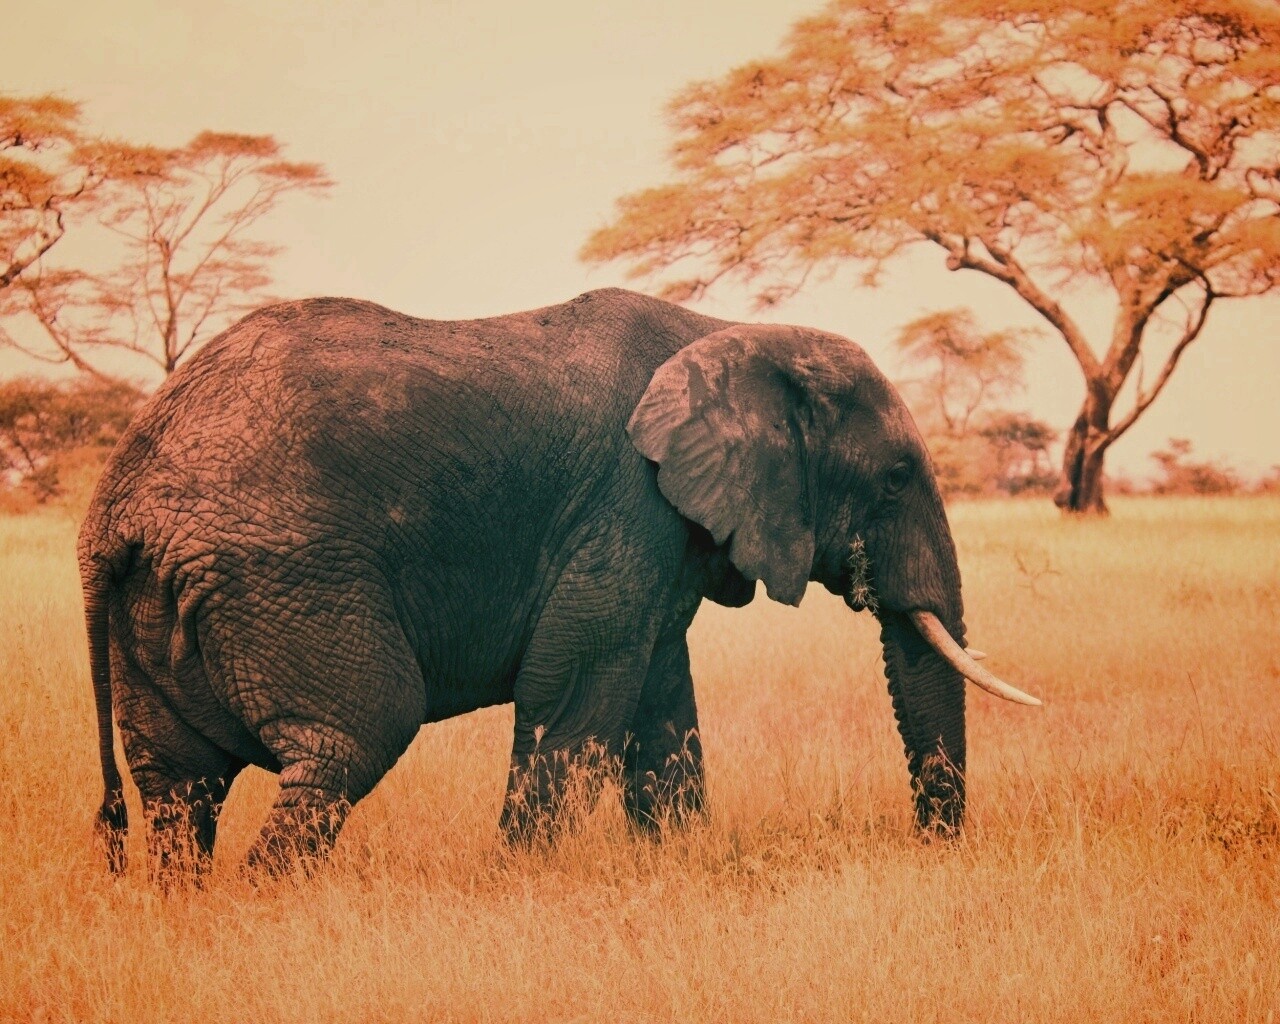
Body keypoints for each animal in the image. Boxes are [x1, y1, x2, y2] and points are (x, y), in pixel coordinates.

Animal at [79, 287, 1038, 877]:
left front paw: (675, 864)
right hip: (284, 574)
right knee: (352, 738)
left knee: (179, 787)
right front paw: (519, 882)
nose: (933, 850)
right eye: (896, 478)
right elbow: (574, 689)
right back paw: (267, 905)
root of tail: (115, 507)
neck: (728, 330)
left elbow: (660, 701)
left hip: (166, 601)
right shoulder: (626, 503)